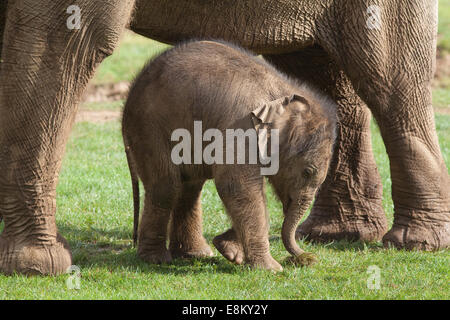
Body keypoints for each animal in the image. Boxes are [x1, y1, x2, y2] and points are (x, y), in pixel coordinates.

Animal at [121, 38, 336, 272]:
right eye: (307, 172)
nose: (308, 257)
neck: (282, 93)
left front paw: (230, 251)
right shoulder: (240, 125)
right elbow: (236, 184)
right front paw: (270, 268)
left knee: (189, 188)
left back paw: (195, 254)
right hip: (149, 129)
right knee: (166, 186)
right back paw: (156, 259)